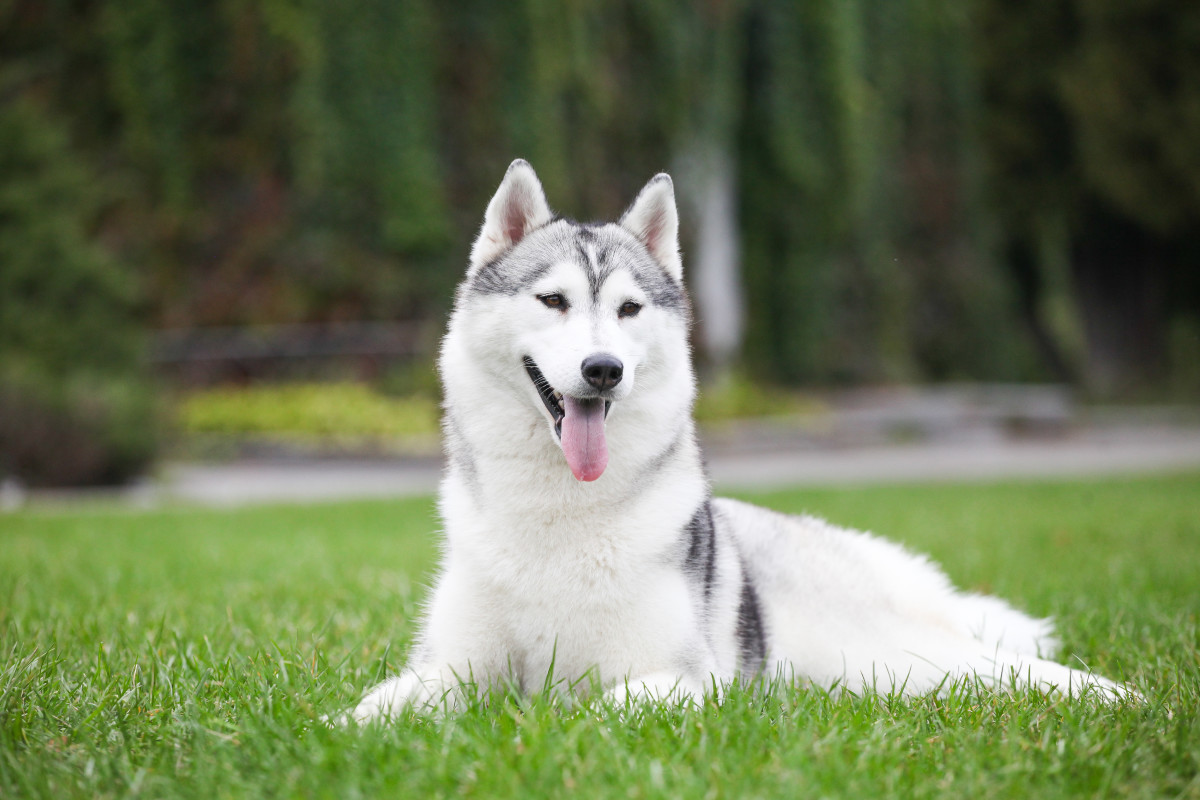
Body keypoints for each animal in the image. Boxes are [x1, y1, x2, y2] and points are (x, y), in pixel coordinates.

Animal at [350, 159, 1132, 724]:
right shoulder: (447, 668)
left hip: (904, 657)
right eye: (553, 300)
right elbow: (374, 710)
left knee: (1003, 668)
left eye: (628, 308)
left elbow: (588, 710)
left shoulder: (682, 680)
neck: (558, 515)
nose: (604, 370)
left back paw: (1117, 696)